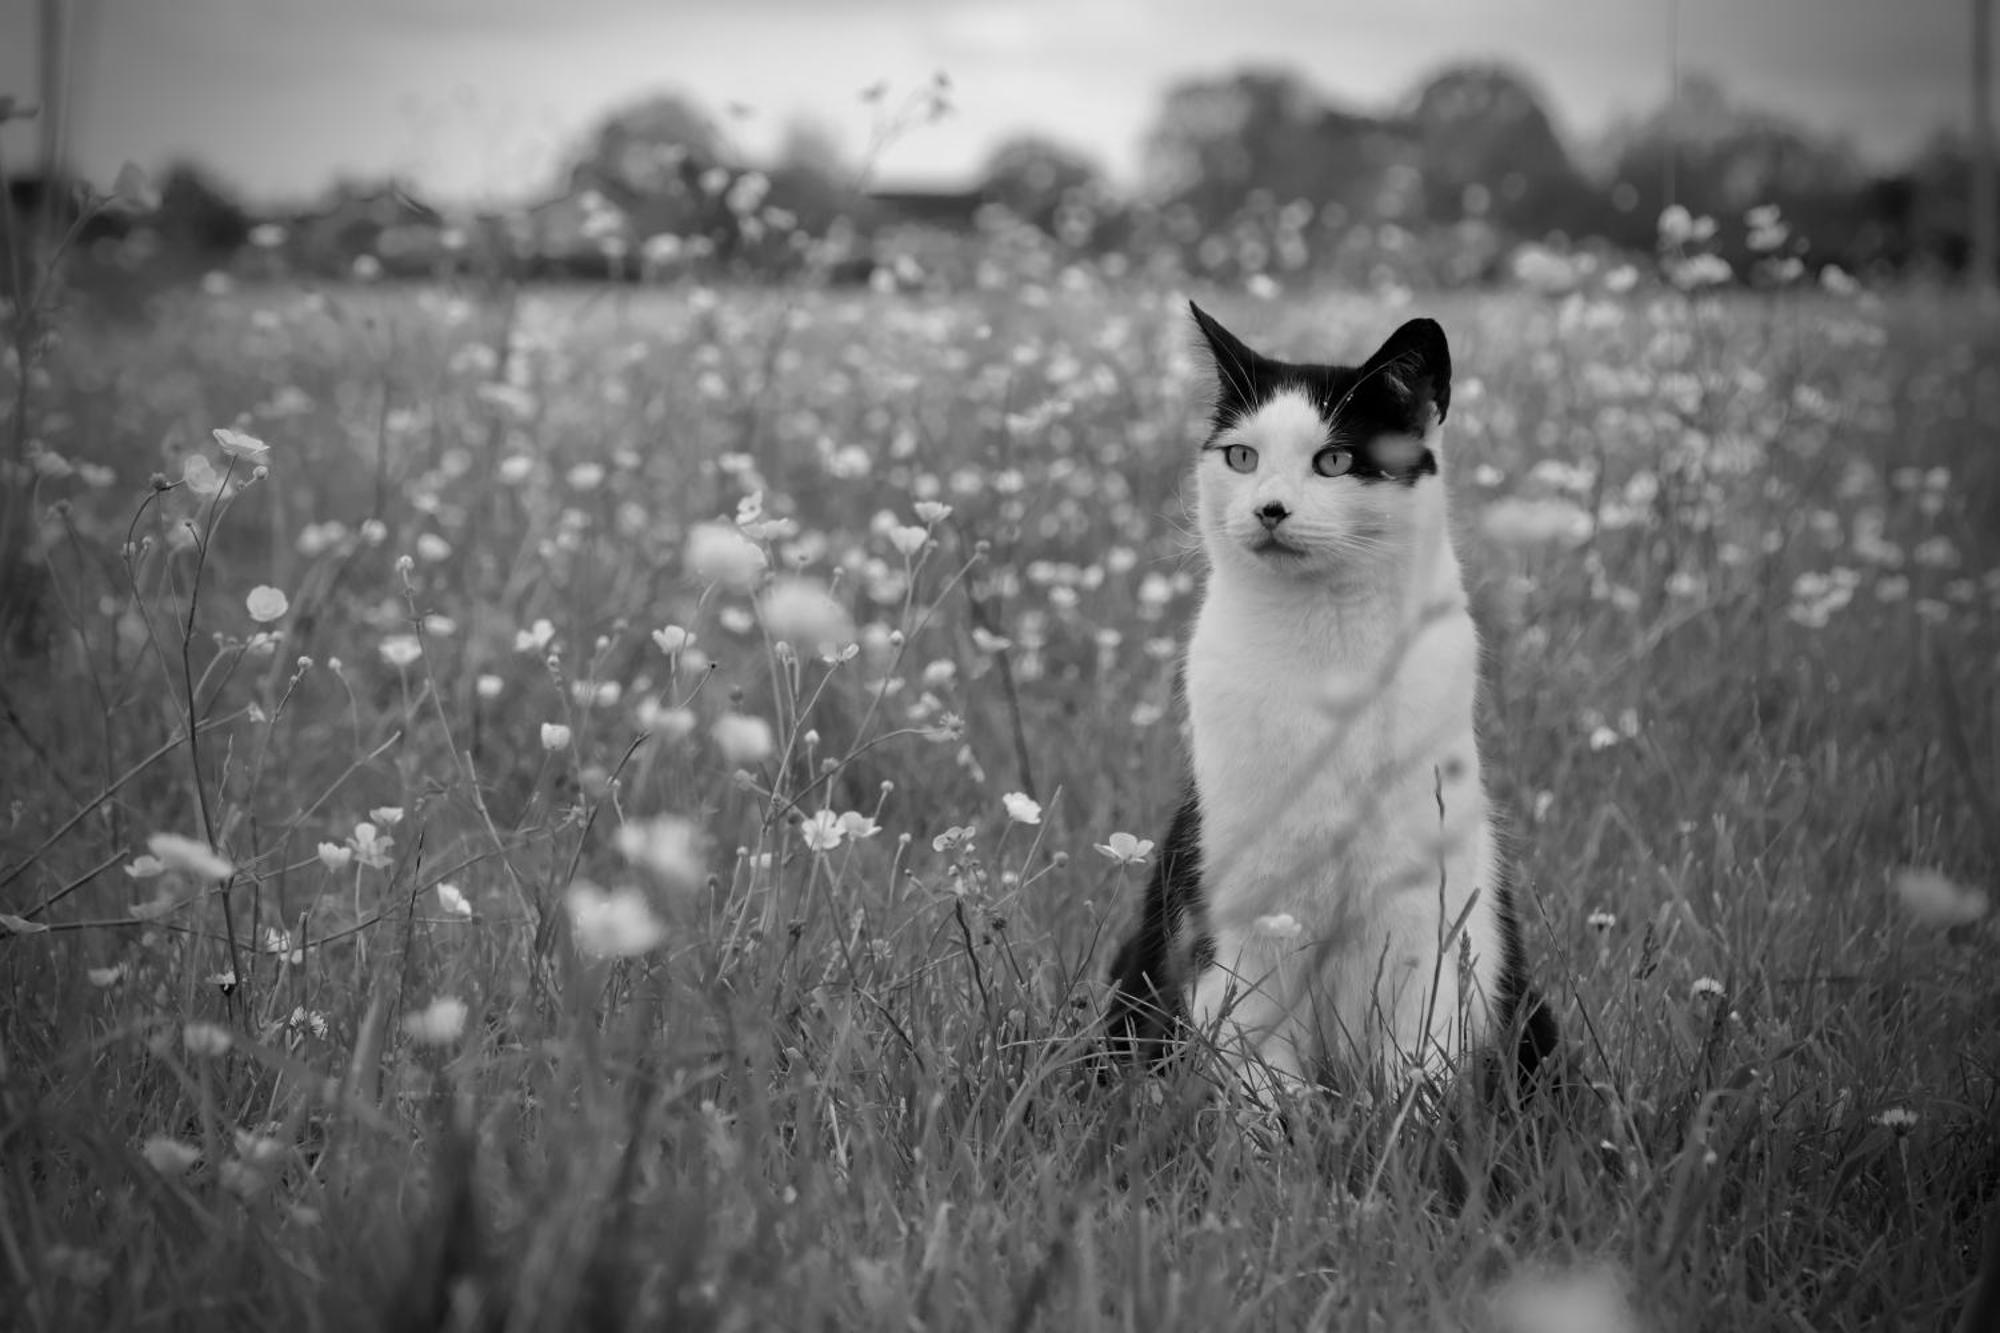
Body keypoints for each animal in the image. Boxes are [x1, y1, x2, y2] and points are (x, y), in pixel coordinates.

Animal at [1112, 304, 1560, 1096]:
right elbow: (1261, 1083)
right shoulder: (1242, 932)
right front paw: (1288, 1126)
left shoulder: (1425, 927)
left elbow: (1420, 1077)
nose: (1269, 509)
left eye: (1335, 462)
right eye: (1241, 457)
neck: (1325, 647)